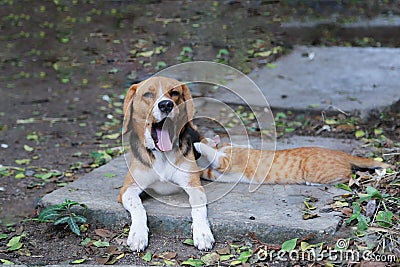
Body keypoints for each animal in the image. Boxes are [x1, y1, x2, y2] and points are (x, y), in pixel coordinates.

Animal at [117, 76, 214, 252]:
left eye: (174, 93)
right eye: (148, 94)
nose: (166, 105)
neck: (162, 154)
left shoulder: (194, 186)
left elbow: (199, 206)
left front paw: (203, 233)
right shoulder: (128, 189)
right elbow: (138, 207)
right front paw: (138, 234)